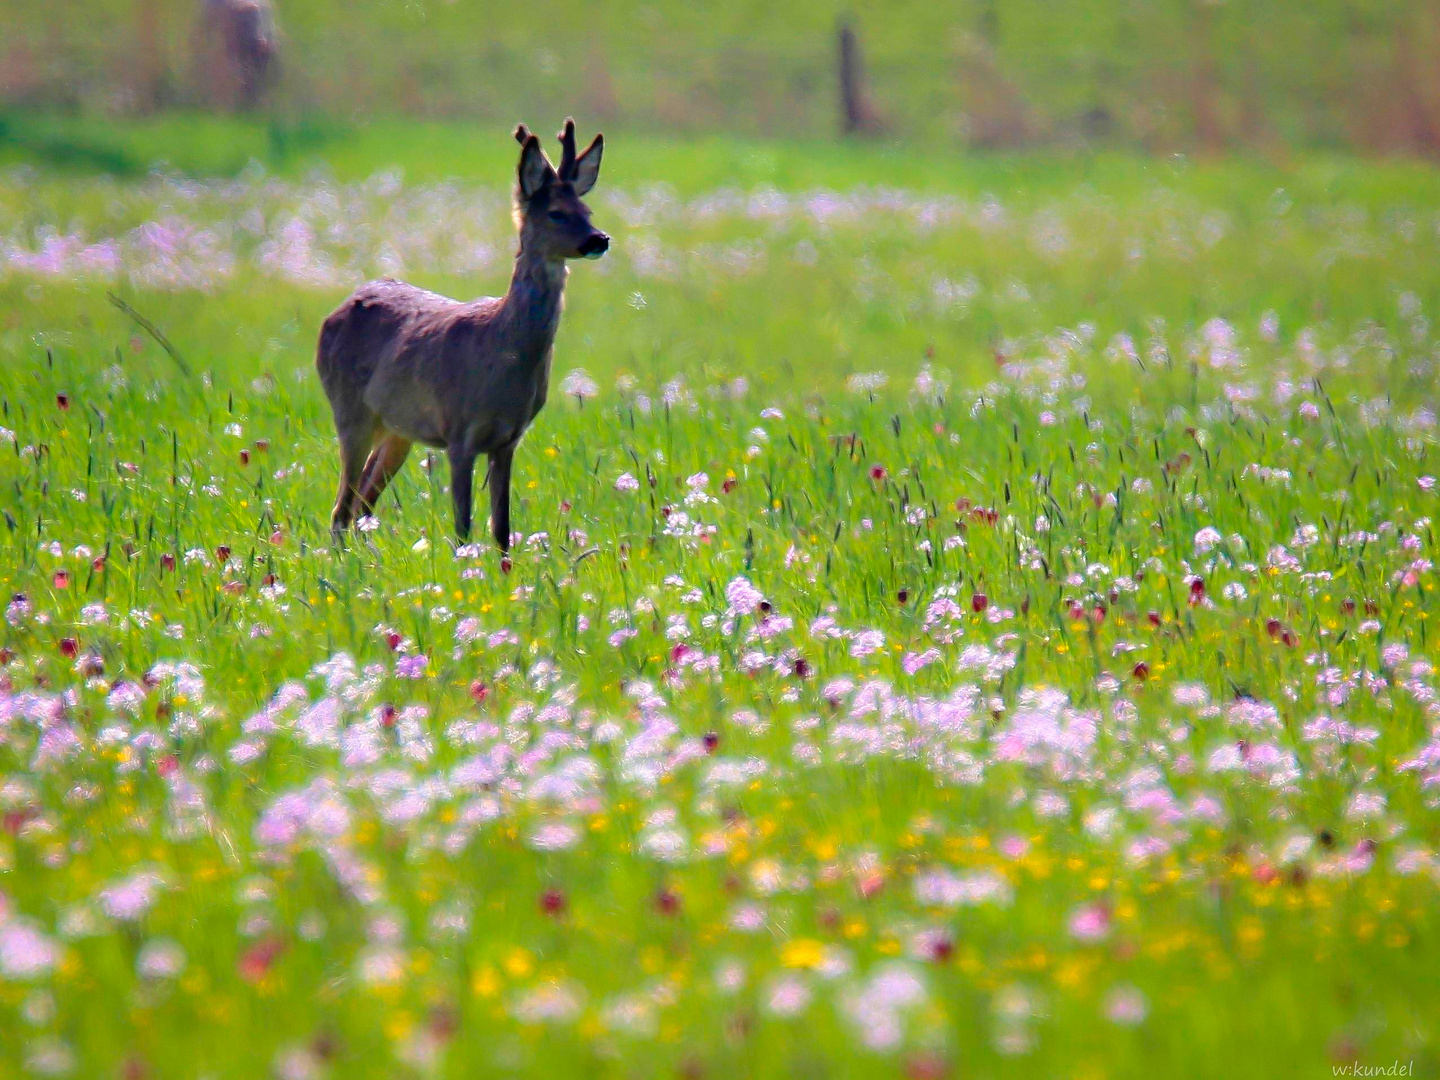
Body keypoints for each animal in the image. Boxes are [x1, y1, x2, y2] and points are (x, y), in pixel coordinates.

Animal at [315, 120, 607, 550]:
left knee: (362, 502)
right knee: (341, 507)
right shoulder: (458, 432)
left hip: (397, 430)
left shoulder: (508, 439)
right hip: (350, 410)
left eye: (587, 211)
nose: (599, 239)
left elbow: (501, 529)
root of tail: (336, 311)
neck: (504, 353)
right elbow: (463, 526)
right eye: (556, 213)